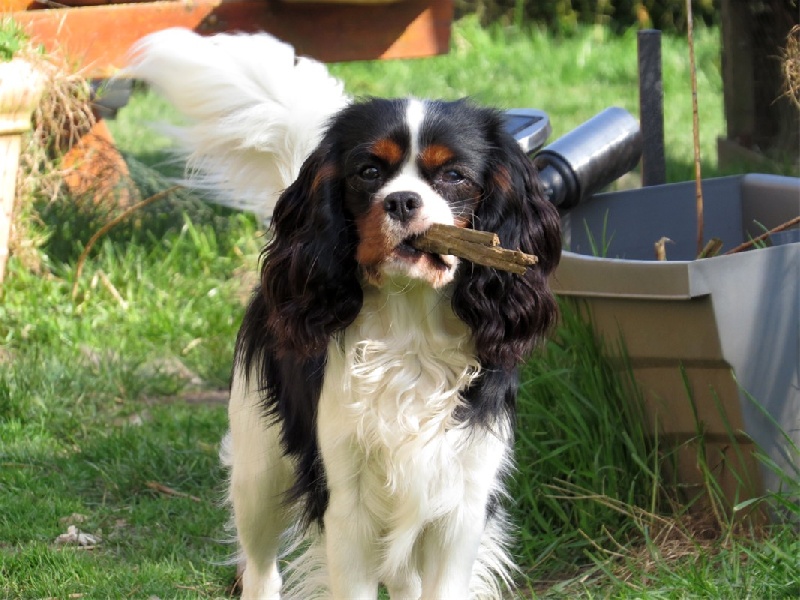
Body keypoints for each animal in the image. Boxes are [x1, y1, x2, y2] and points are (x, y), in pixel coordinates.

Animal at [126, 29, 564, 600]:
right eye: (369, 171)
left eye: (454, 176)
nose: (401, 201)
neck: (410, 331)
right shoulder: (347, 507)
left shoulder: (459, 506)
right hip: (258, 468)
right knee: (260, 564)